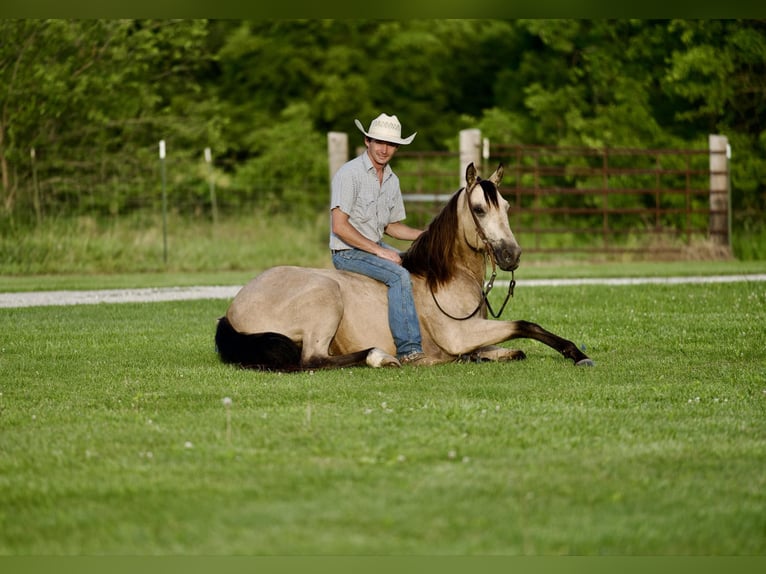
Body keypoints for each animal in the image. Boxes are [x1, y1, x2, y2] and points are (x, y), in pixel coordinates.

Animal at [215, 163, 594, 371]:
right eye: (479, 209)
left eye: (507, 206)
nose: (511, 255)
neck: (446, 279)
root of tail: (234, 307)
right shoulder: (461, 334)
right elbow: (525, 325)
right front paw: (577, 354)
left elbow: (514, 349)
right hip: (325, 298)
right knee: (312, 360)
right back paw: (381, 357)